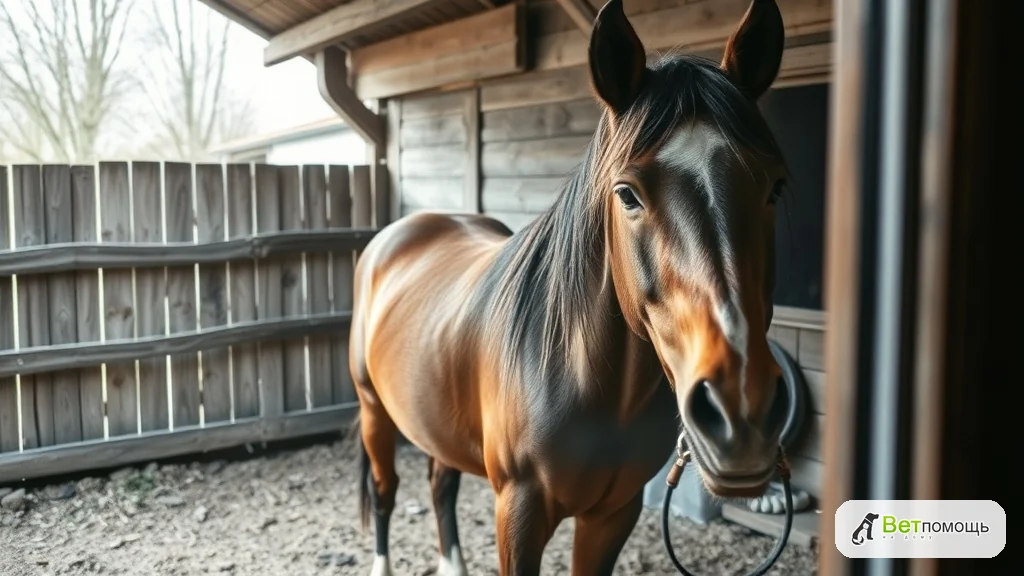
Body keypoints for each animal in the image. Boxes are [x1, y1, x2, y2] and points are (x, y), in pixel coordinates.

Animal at [348, 0, 791, 573]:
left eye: (775, 187)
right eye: (627, 194)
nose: (742, 410)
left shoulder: (613, 513)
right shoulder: (518, 511)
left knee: (441, 484)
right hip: (374, 413)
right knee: (386, 493)